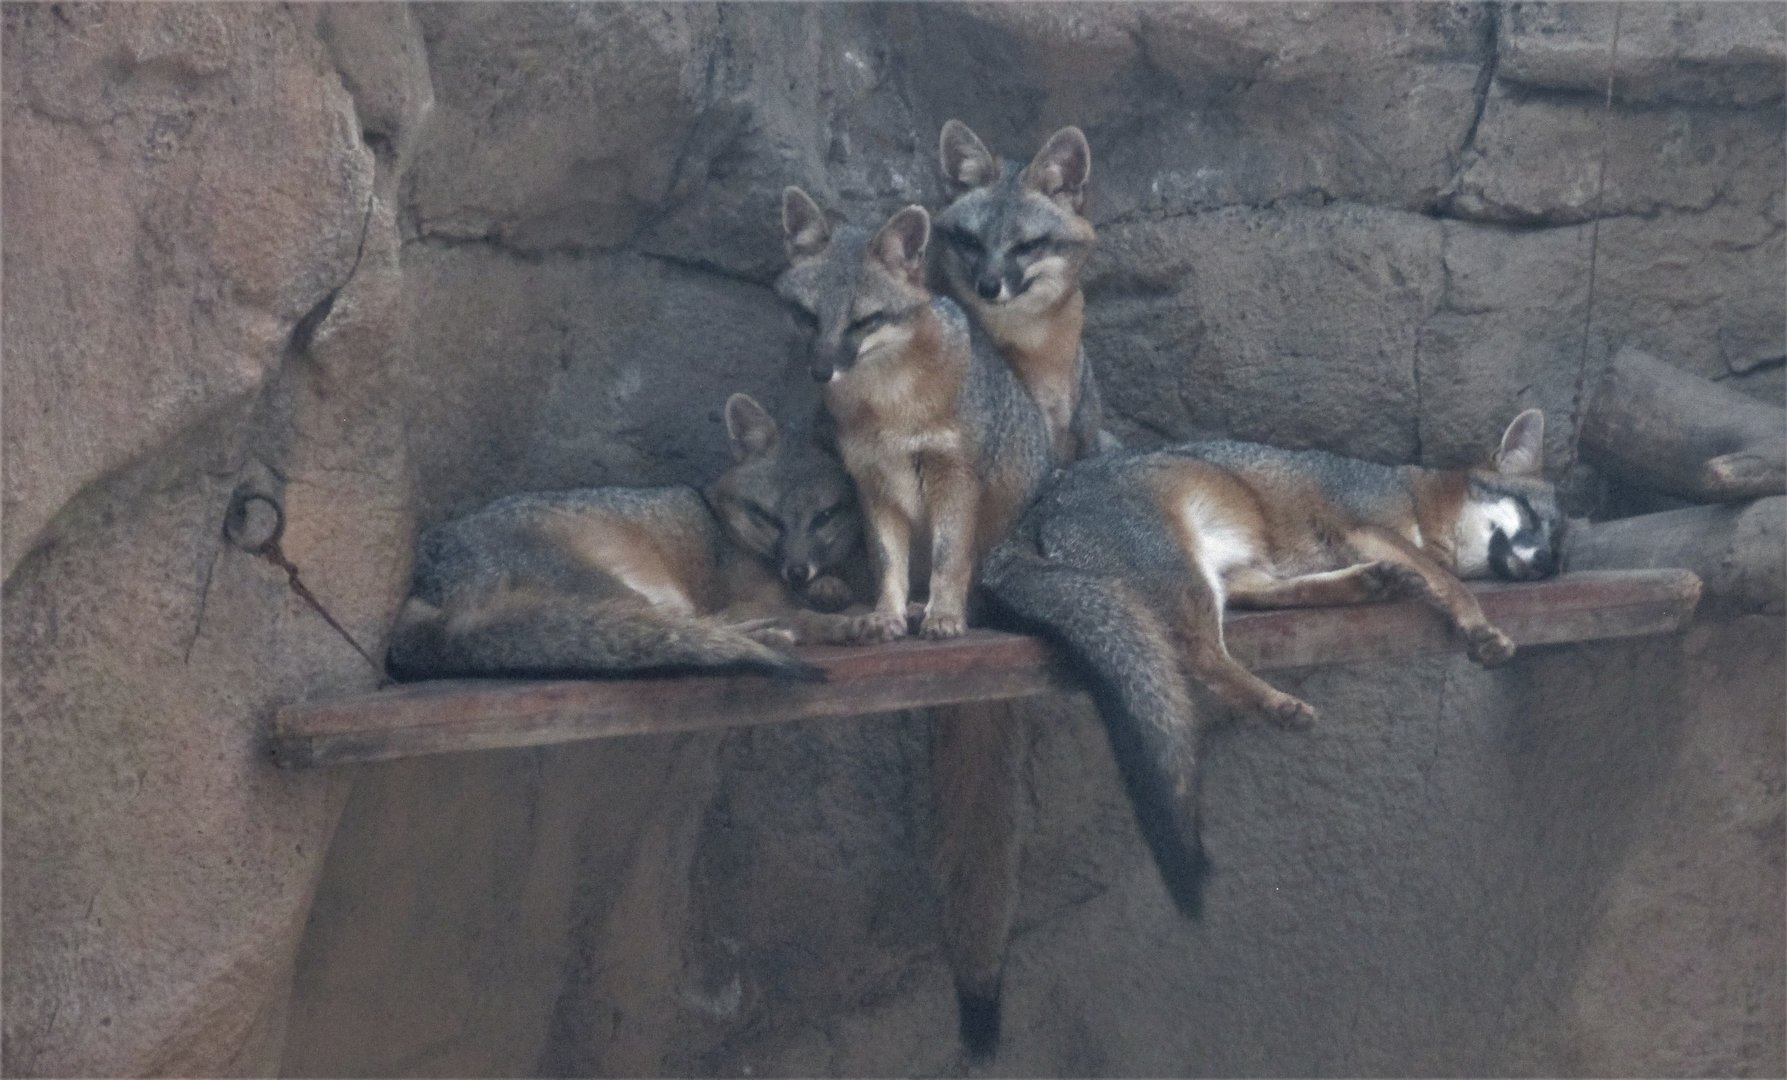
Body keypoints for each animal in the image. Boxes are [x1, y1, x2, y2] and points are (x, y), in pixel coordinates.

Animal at [385, 393, 865, 682]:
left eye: (824, 517)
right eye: (767, 517)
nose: (797, 570)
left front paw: (832, 591)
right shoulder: (745, 597)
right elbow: (797, 614)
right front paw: (845, 622)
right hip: (623, 593)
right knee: (696, 629)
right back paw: (770, 637)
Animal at [777, 188, 1056, 1060]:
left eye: (864, 321)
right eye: (807, 316)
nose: (817, 370)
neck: (888, 406)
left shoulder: (950, 474)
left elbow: (950, 560)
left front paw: (941, 618)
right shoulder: (874, 482)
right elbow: (892, 561)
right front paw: (884, 613)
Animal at [980, 410, 1563, 919]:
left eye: (1559, 552)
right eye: (1535, 520)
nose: (1542, 566)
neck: (1416, 497)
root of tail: (1026, 520)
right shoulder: (1365, 524)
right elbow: (1452, 583)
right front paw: (1480, 626)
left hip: (1229, 571)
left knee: (1259, 601)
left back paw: (1364, 584)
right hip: (1185, 575)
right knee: (1198, 653)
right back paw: (1279, 703)